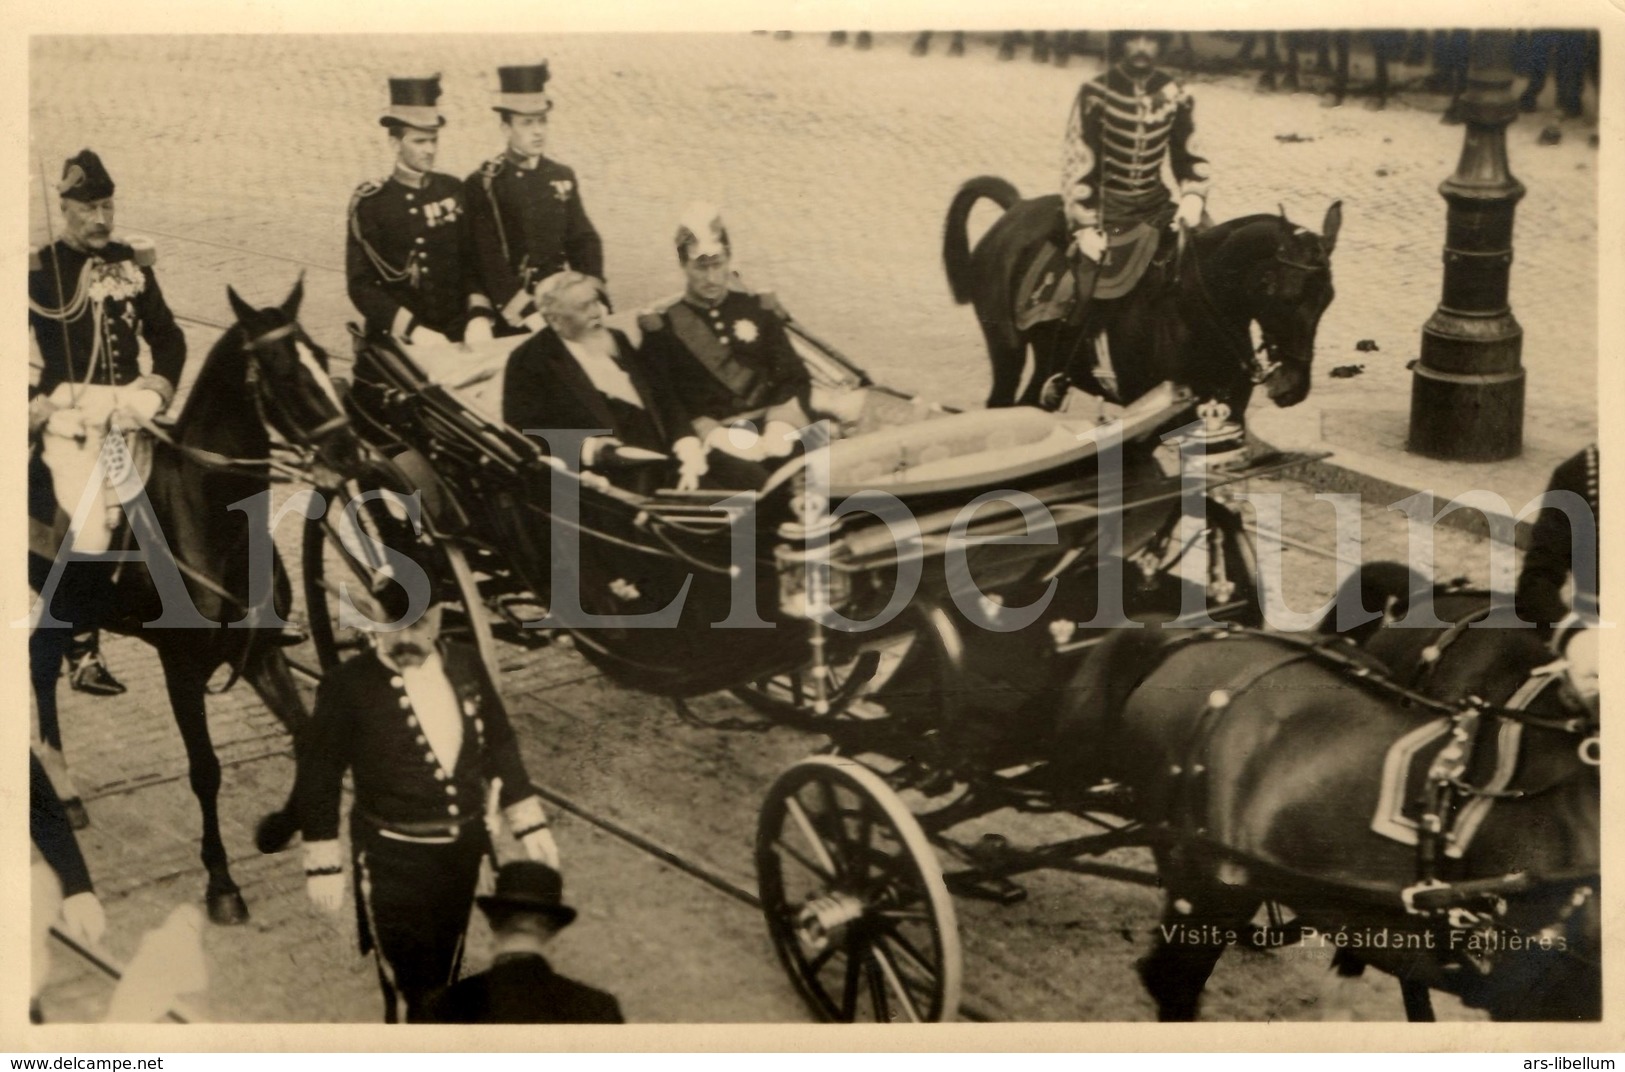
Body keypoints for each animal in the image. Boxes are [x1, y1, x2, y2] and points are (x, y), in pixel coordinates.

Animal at [30, 280, 368, 922]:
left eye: (324, 357)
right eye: (284, 371)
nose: (352, 453)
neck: (209, 515)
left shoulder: (261, 653)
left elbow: (307, 735)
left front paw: (275, 829)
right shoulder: (181, 669)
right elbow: (205, 770)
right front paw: (222, 882)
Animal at [949, 176, 1339, 410]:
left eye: (1327, 301)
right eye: (1286, 297)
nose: (1293, 388)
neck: (1195, 310)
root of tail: (1017, 208)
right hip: (1007, 350)